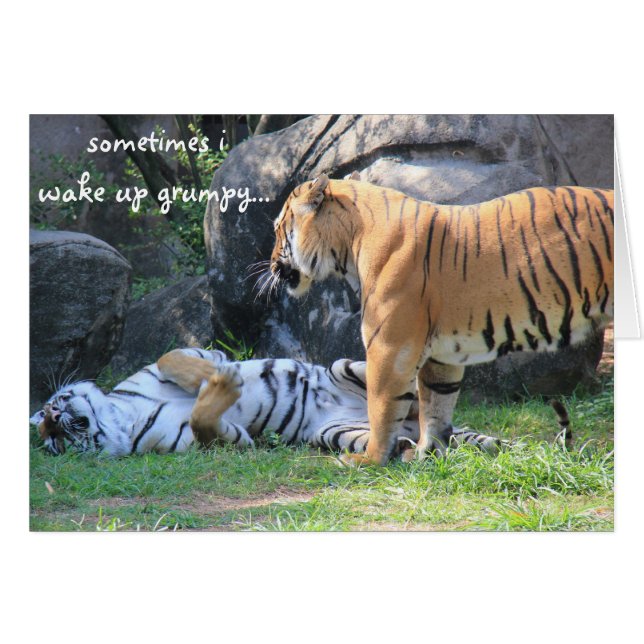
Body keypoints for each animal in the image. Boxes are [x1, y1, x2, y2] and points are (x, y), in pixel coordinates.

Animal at [270, 173, 613, 466]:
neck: (350, 243)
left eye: (278, 229)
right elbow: (436, 406)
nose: (272, 263)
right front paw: (427, 453)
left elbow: (381, 408)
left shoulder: (389, 347)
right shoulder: (443, 354)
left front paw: (368, 460)